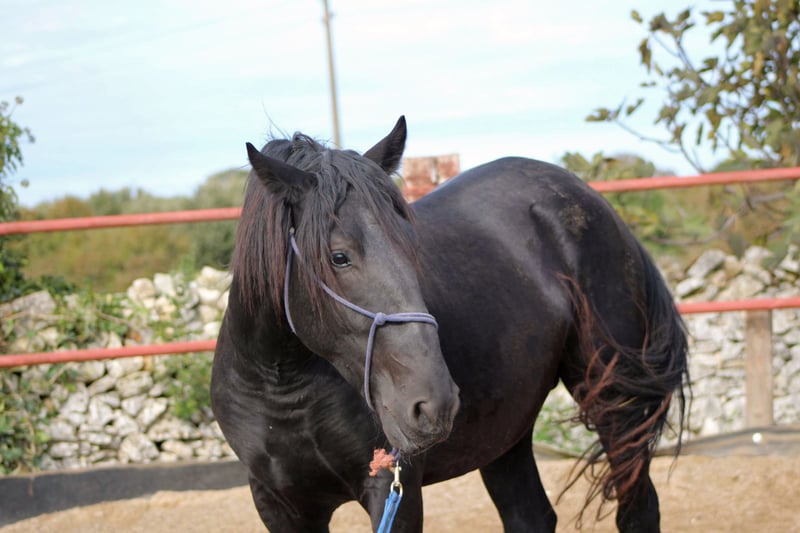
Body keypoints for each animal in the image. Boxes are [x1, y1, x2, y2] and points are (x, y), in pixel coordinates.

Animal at [210, 117, 688, 532]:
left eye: (412, 245)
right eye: (339, 257)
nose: (432, 404)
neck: (284, 385)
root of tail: (591, 198)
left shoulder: (392, 489)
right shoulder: (279, 504)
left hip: (617, 405)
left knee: (638, 511)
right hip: (506, 431)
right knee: (530, 516)